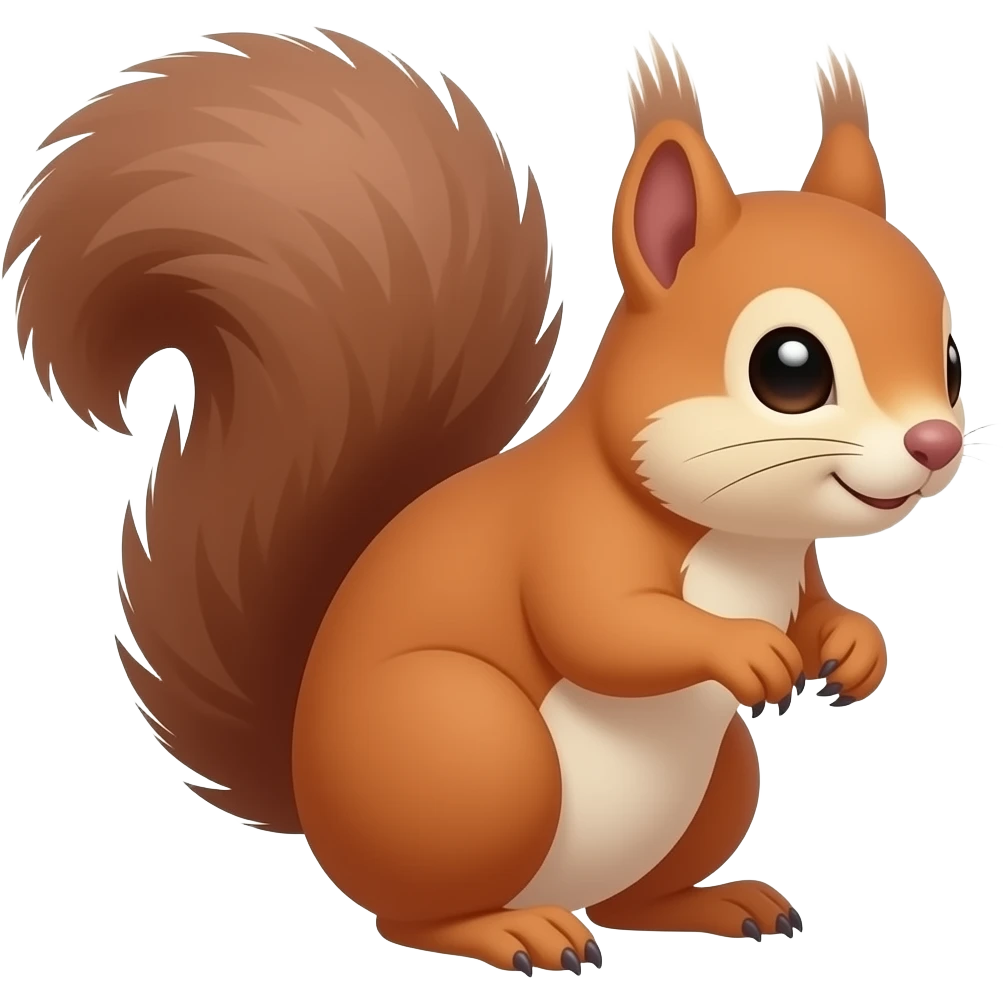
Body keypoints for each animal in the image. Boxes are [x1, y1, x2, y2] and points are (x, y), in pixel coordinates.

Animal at [7, 29, 965, 974]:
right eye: (788, 367)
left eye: (952, 360)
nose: (935, 444)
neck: (738, 536)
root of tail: (315, 810)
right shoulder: (570, 533)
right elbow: (603, 626)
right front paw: (744, 649)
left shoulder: (793, 562)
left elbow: (813, 609)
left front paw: (854, 645)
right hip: (473, 749)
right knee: (414, 914)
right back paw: (515, 932)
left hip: (718, 778)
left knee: (631, 900)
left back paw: (714, 902)